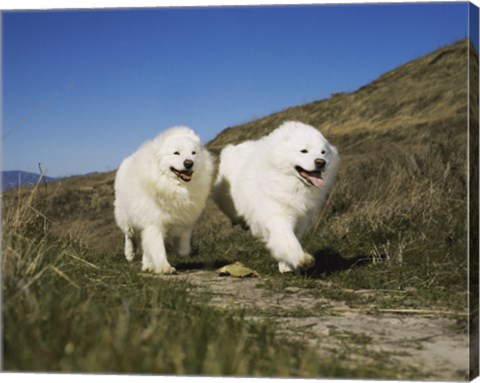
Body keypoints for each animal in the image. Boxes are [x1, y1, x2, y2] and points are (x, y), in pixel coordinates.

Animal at [113, 127, 213, 274]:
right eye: (176, 153)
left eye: (193, 153)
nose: (189, 163)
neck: (174, 187)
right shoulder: (154, 222)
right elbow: (158, 247)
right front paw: (164, 267)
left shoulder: (186, 218)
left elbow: (183, 240)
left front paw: (181, 250)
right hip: (125, 216)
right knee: (129, 235)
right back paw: (130, 253)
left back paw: (147, 265)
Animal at [212, 121, 340, 274]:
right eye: (304, 151)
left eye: (323, 152)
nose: (321, 162)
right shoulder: (278, 215)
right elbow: (289, 240)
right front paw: (302, 259)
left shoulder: (301, 219)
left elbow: (292, 239)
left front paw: (286, 265)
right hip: (228, 200)